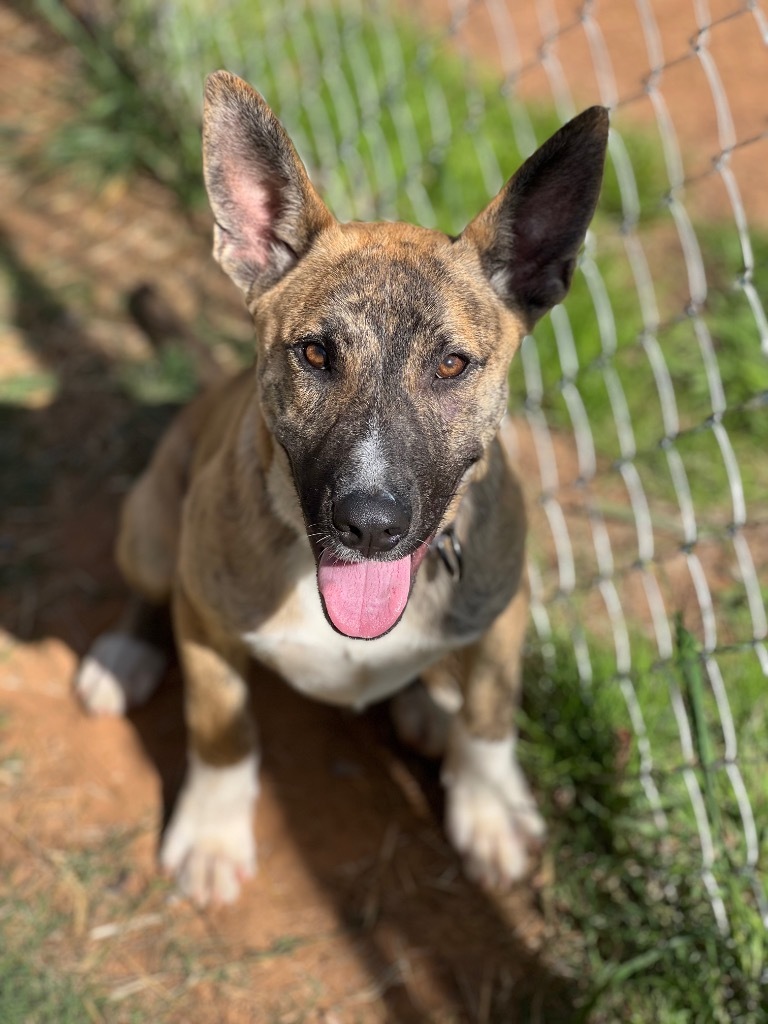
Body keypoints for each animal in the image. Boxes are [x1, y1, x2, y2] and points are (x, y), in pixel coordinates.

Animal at [75, 70, 610, 905]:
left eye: (452, 364)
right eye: (315, 354)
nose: (371, 524)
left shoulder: (505, 607)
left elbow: (491, 714)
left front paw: (490, 811)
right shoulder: (209, 623)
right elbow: (221, 728)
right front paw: (213, 834)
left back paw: (430, 703)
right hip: (153, 532)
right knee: (148, 590)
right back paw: (124, 655)